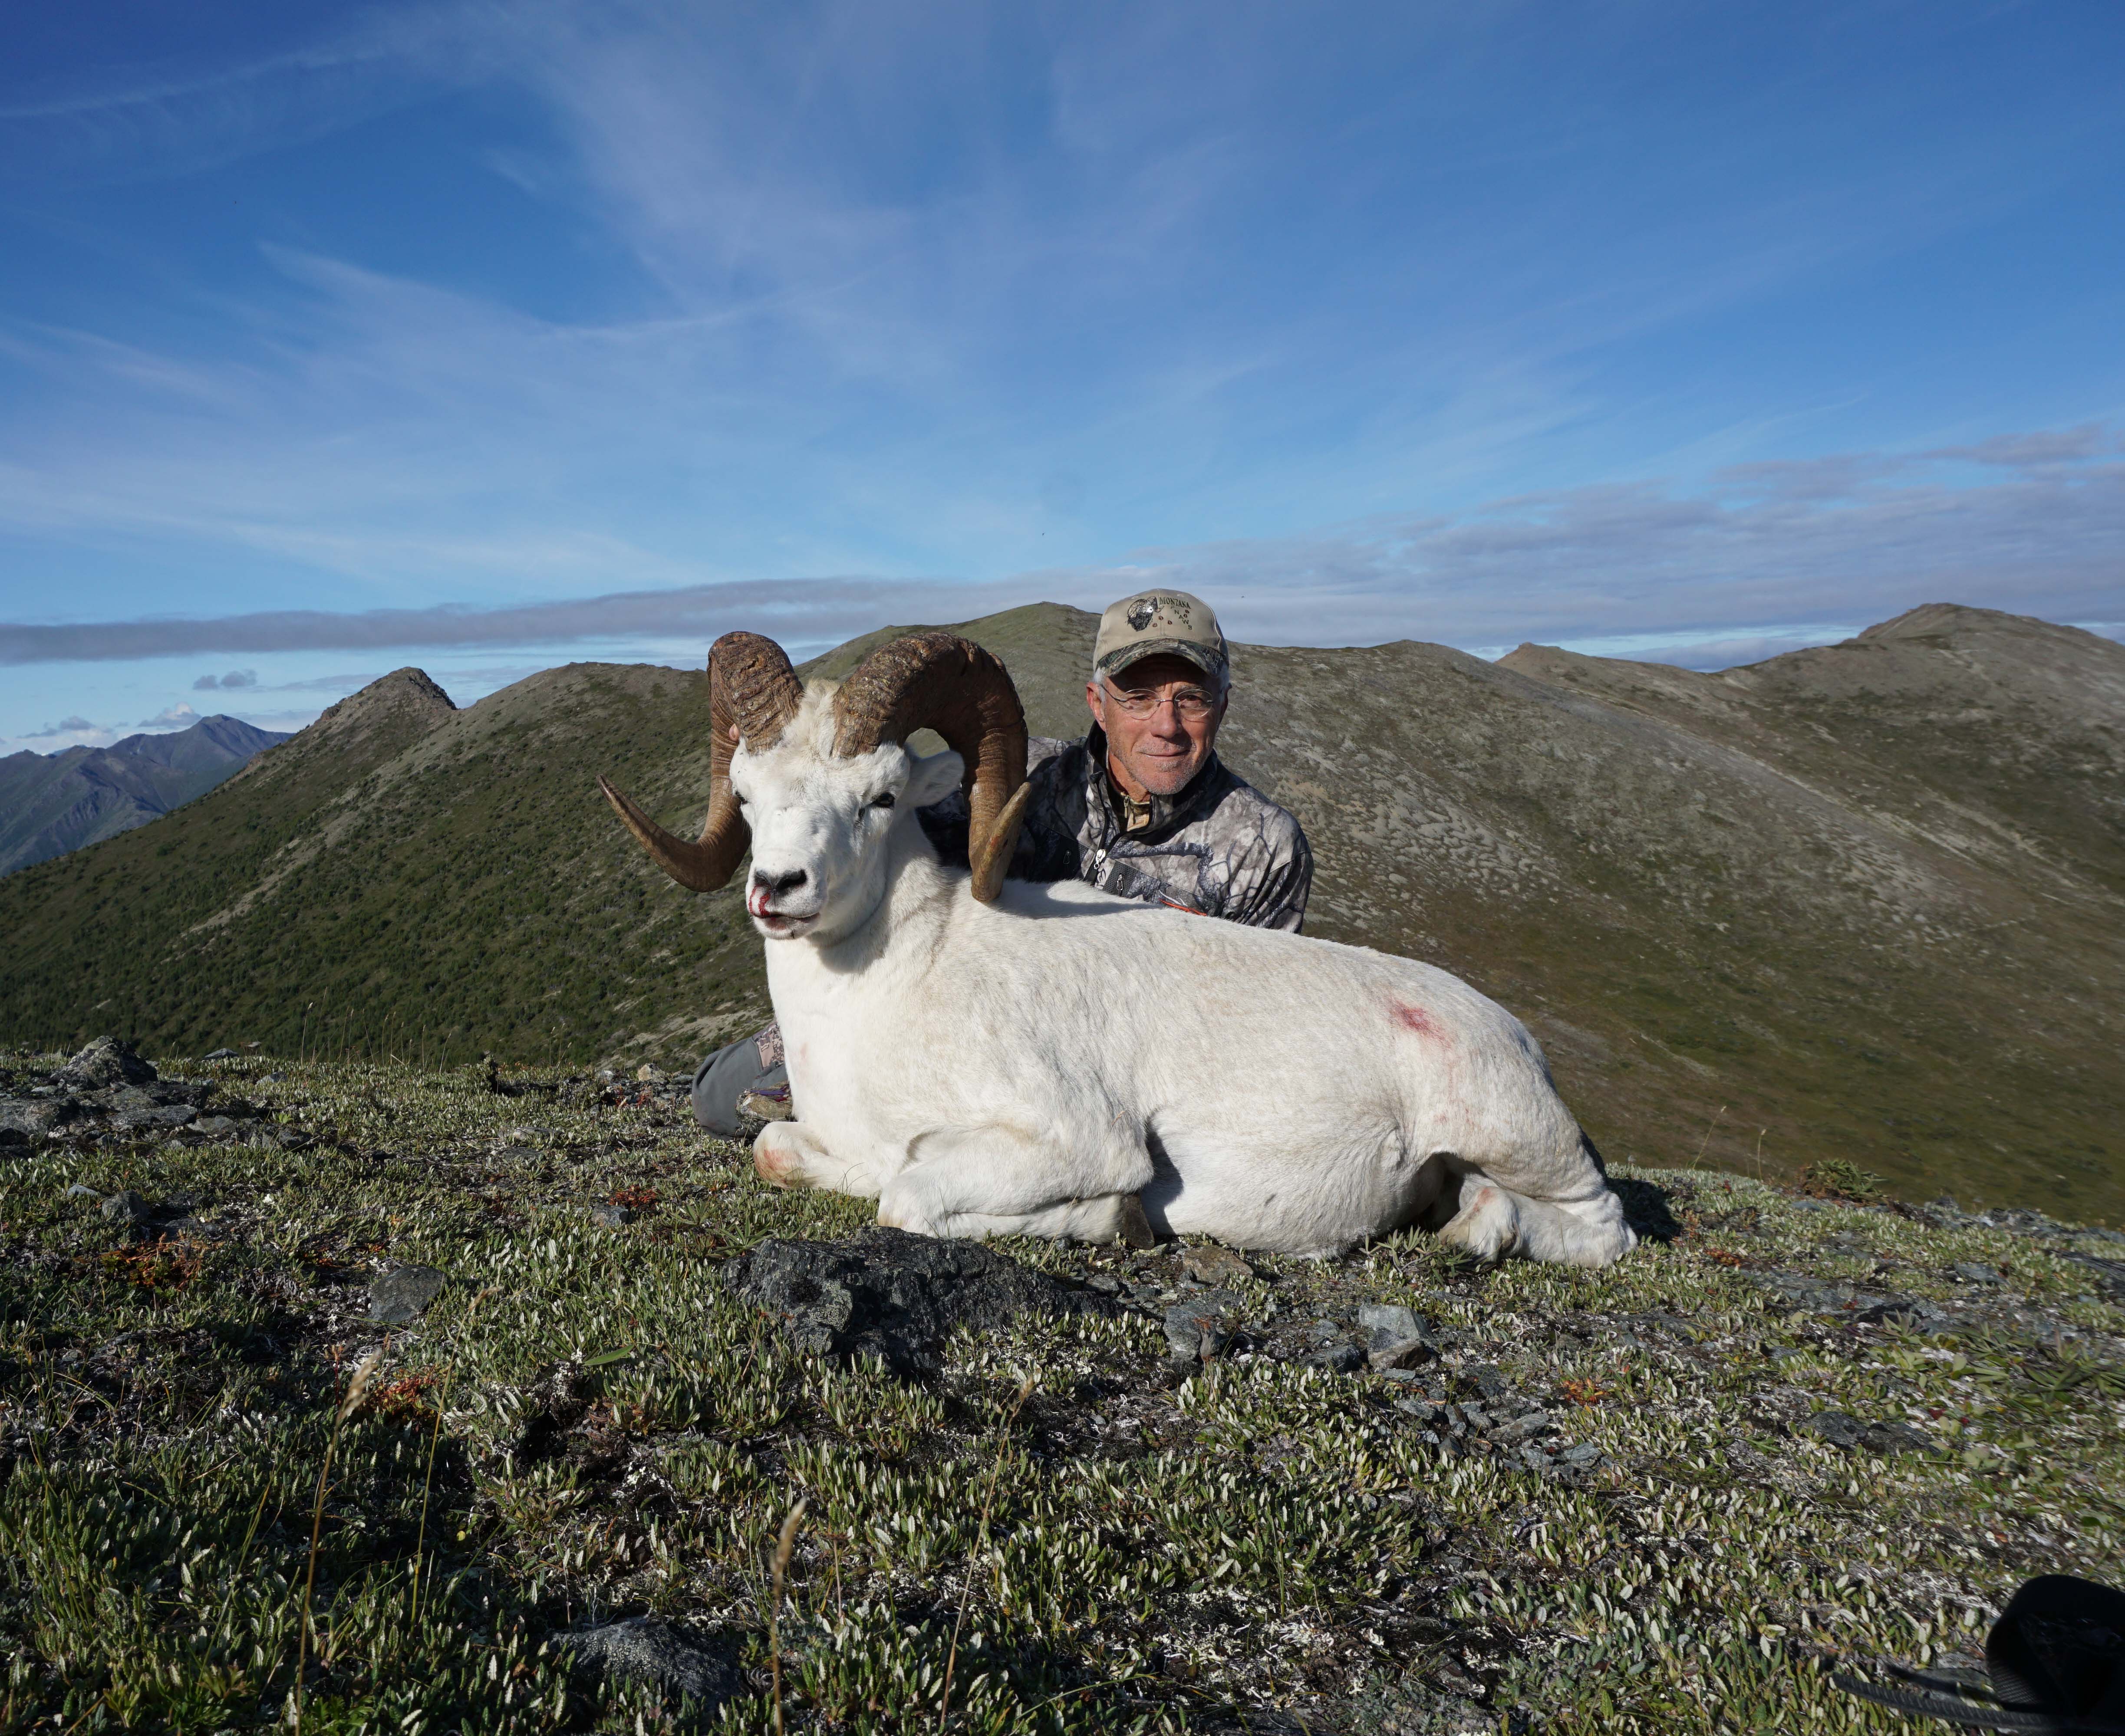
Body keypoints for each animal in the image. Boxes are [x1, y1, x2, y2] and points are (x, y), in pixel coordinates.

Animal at [600, 630, 1635, 1264]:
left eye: (881, 796)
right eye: (746, 791)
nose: (778, 890)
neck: (898, 988)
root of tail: (1515, 1036)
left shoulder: (1072, 1138)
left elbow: (907, 1196)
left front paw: (1112, 1220)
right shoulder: (819, 1136)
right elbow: (788, 1152)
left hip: (1524, 1142)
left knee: (1603, 1228)